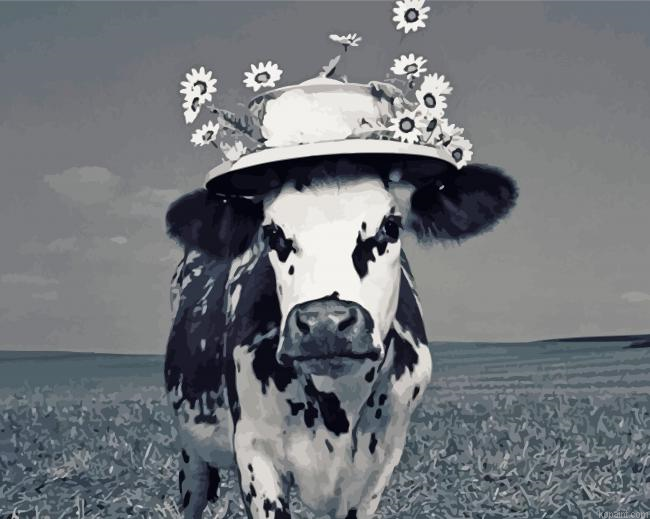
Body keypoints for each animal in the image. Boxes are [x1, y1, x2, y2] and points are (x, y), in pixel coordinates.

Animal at [164, 156, 517, 518]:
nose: (325, 323)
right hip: (190, 452)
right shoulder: (253, 450)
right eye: (273, 234)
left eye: (391, 226)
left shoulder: (380, 463)